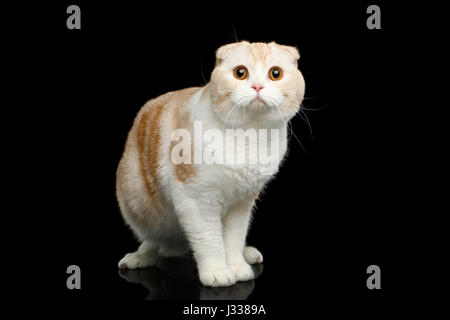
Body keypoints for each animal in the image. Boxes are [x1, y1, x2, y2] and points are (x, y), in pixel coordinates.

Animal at [116, 40, 306, 288]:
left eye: (275, 74)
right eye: (240, 73)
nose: (257, 86)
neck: (248, 136)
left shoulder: (242, 203)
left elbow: (233, 238)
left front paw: (237, 266)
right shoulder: (197, 199)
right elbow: (209, 239)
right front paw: (218, 271)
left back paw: (247, 253)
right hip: (136, 200)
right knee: (155, 240)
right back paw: (139, 257)